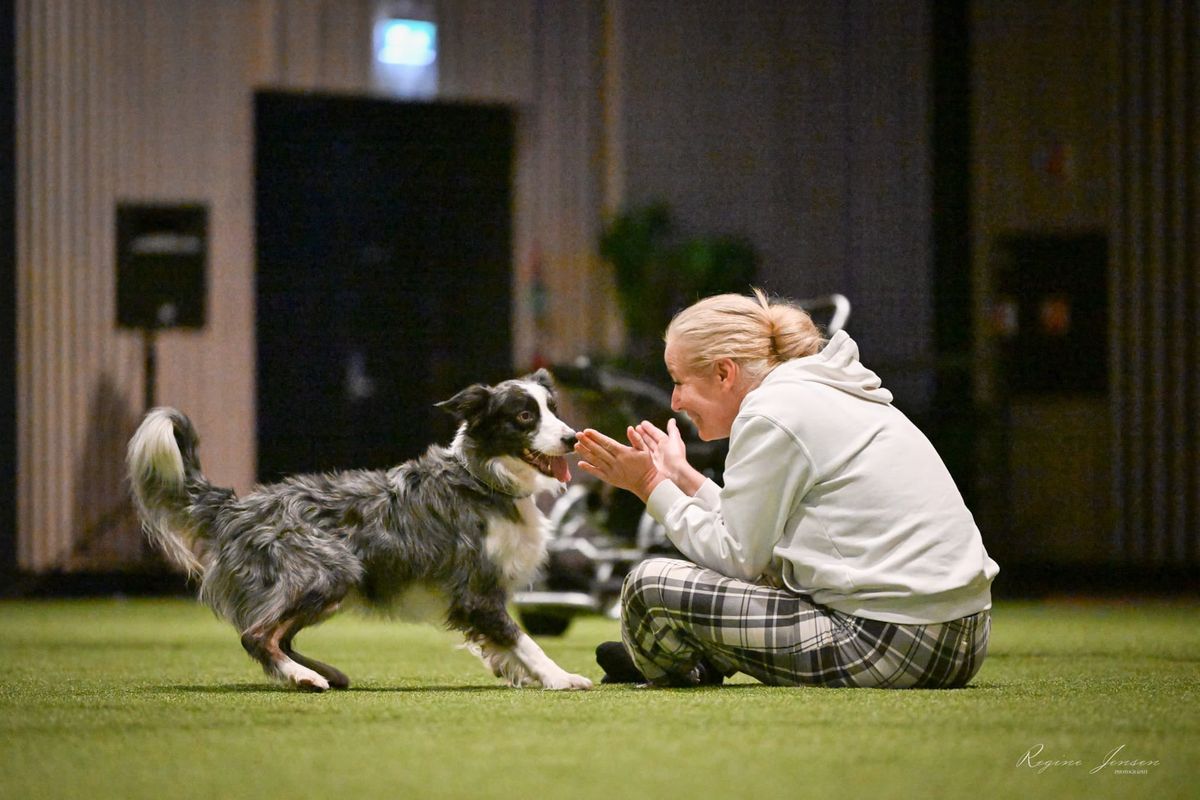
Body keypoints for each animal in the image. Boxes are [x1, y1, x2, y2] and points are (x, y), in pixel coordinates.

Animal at [127, 369, 595, 690]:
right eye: (524, 416)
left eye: (555, 410)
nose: (573, 437)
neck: (484, 480)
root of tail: (237, 506)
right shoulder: (475, 592)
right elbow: (524, 639)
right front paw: (559, 676)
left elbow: (505, 643)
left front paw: (514, 669)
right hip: (327, 570)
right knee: (256, 635)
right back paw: (303, 677)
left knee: (279, 635)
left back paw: (323, 672)